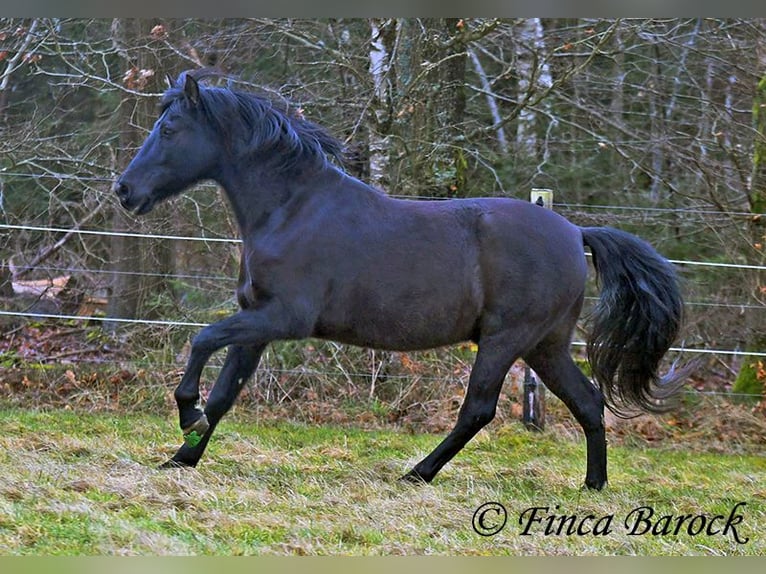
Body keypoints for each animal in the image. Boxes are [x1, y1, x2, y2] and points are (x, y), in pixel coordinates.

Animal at [114, 72, 688, 492]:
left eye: (170, 129)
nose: (124, 190)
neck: (291, 208)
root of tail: (575, 233)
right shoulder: (256, 322)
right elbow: (223, 395)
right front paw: (181, 459)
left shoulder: (282, 318)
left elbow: (201, 341)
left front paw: (185, 415)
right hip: (544, 346)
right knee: (588, 402)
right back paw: (592, 486)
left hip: (506, 339)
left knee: (478, 409)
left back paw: (417, 474)